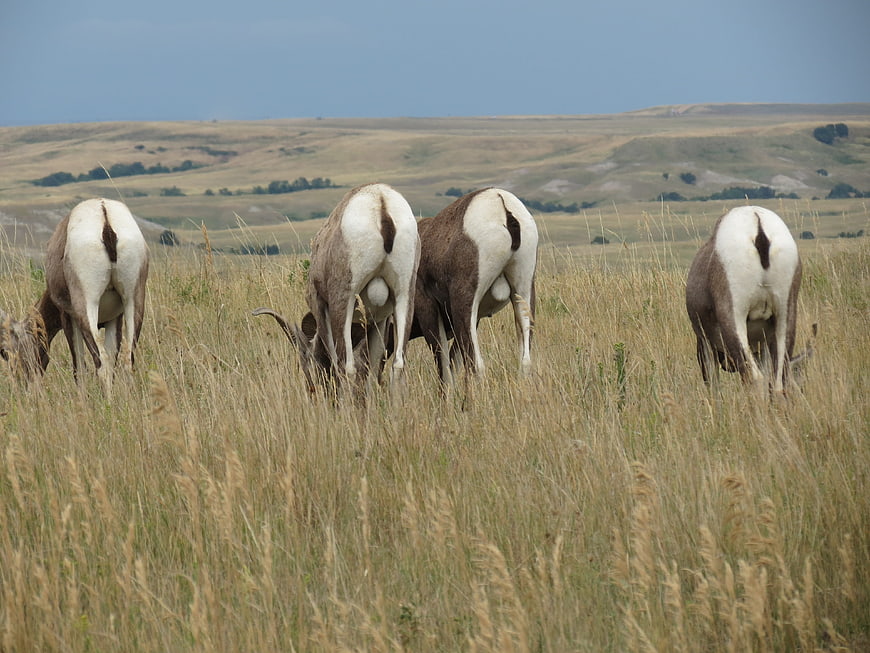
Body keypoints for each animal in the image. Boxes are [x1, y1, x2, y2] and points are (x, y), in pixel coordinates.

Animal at [0, 198, 149, 393]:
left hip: (86, 308)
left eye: (5, 352)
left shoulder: (68, 317)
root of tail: (105, 216)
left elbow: (79, 368)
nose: (24, 387)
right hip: (133, 300)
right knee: (127, 361)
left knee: (101, 363)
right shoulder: (115, 318)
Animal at [253, 182, 420, 394]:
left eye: (306, 361)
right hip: (404, 297)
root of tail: (381, 202)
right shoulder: (378, 320)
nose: (313, 390)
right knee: (398, 365)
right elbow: (372, 367)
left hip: (344, 302)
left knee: (346, 366)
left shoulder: (320, 305)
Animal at [409, 187, 538, 387]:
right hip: (523, 292)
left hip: (465, 303)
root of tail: (501, 203)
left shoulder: (429, 310)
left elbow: (445, 369)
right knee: (525, 360)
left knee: (476, 365)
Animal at [685, 205, 802, 393]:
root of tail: (758, 227)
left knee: (754, 378)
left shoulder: (705, 343)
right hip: (784, 317)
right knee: (777, 382)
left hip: (735, 320)